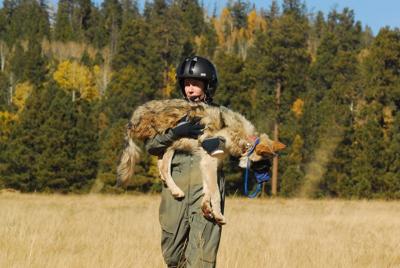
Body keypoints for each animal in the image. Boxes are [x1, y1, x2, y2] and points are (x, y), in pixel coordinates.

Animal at [117, 99, 286, 224]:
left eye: (268, 166)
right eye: (264, 165)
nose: (267, 181)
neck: (242, 138)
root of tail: (135, 115)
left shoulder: (209, 163)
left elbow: (207, 189)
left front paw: (206, 208)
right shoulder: (209, 162)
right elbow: (216, 193)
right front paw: (218, 215)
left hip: (172, 146)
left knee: (162, 167)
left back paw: (173, 189)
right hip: (171, 143)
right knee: (163, 167)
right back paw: (176, 190)